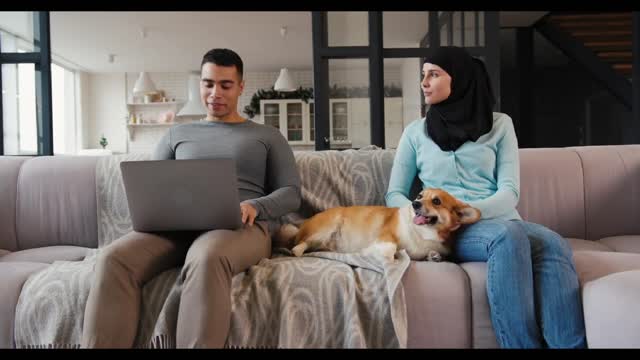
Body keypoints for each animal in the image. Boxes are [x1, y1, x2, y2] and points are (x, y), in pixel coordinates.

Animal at [276, 188, 480, 262]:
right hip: (326, 229)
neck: (423, 233)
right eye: (420, 196)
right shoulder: (386, 237)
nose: (415, 203)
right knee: (300, 244)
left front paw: (434, 256)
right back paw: (294, 251)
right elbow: (390, 250)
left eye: (436, 201)